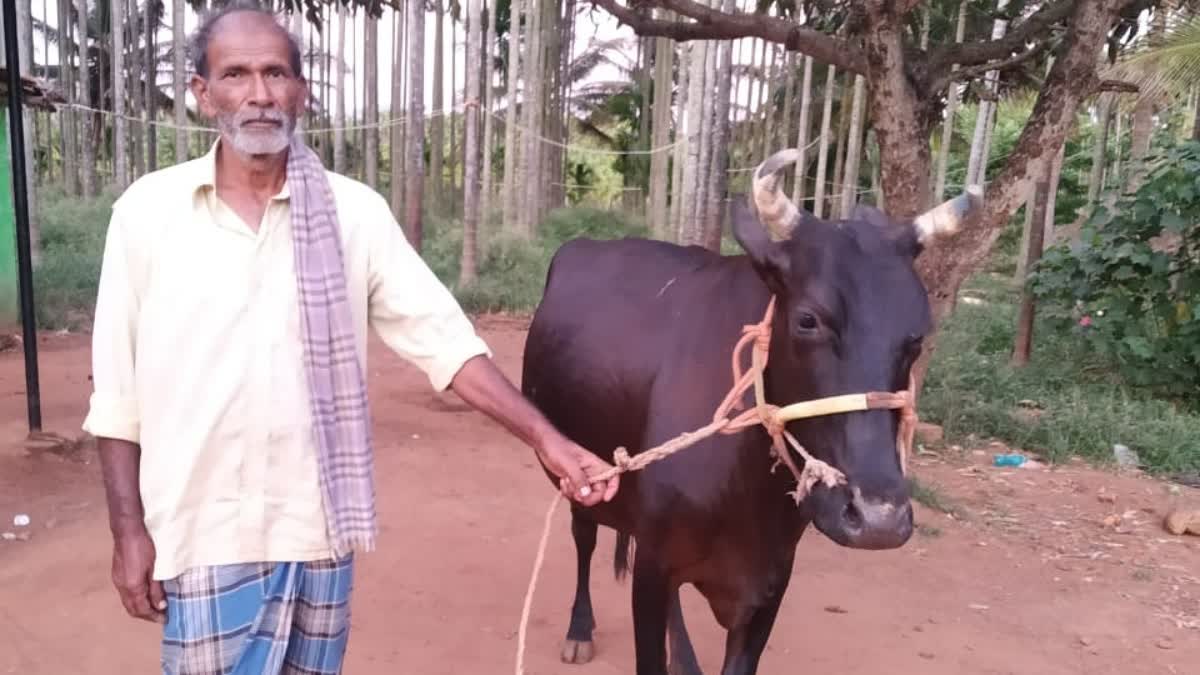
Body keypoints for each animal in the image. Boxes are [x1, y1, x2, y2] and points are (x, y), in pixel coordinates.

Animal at [520, 148, 979, 672]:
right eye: (807, 319)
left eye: (917, 337)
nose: (879, 520)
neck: (746, 491)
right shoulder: (653, 567)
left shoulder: (770, 580)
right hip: (582, 476)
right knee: (583, 535)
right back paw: (580, 628)